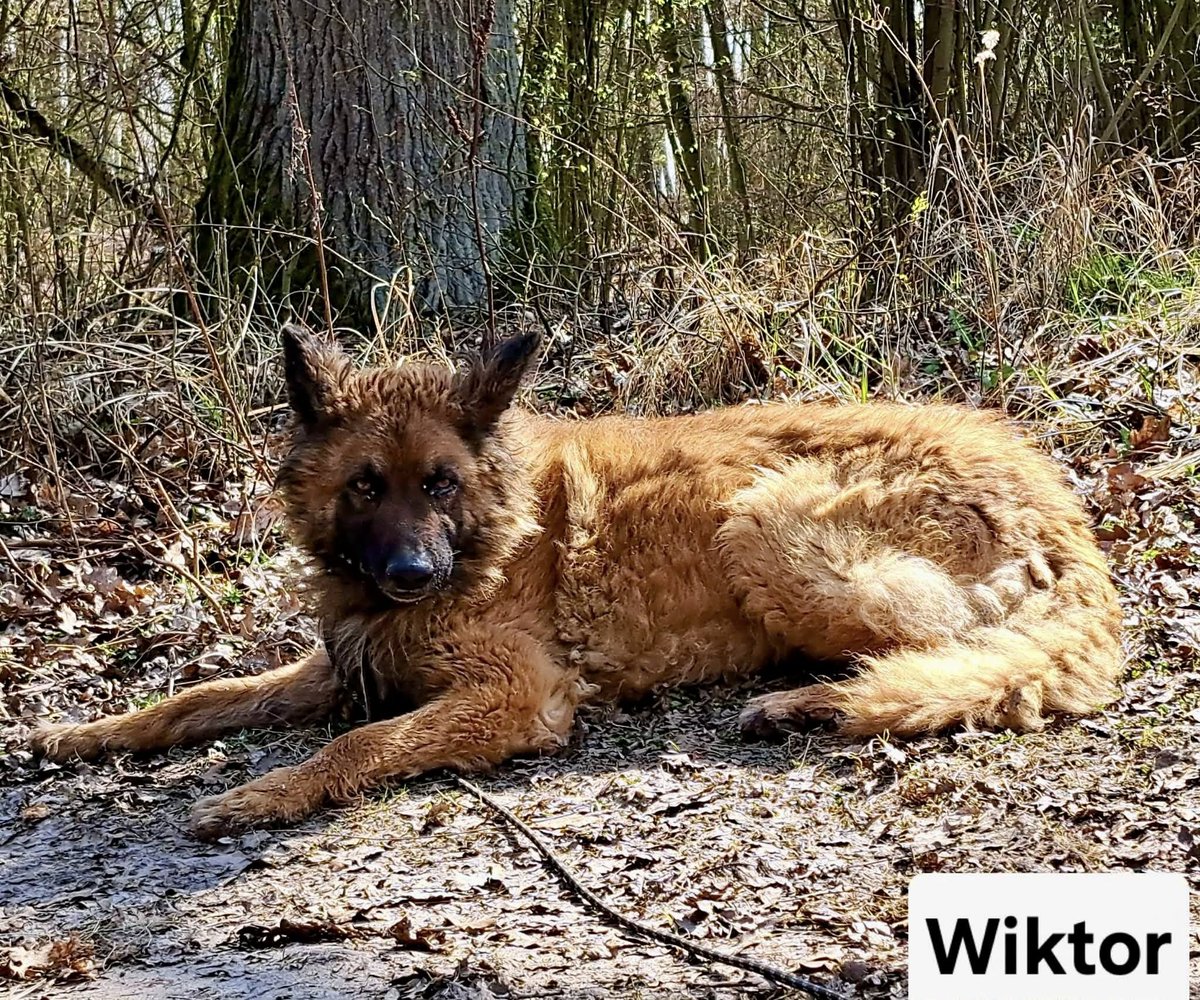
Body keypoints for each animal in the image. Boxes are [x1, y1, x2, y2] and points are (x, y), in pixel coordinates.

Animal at [31, 328, 1124, 838]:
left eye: (441, 482)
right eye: (365, 486)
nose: (412, 573)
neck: (492, 533)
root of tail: (1057, 501)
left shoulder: (517, 695)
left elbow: (365, 743)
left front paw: (267, 792)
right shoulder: (343, 663)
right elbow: (200, 696)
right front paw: (83, 733)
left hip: (766, 522)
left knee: (946, 658)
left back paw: (808, 703)